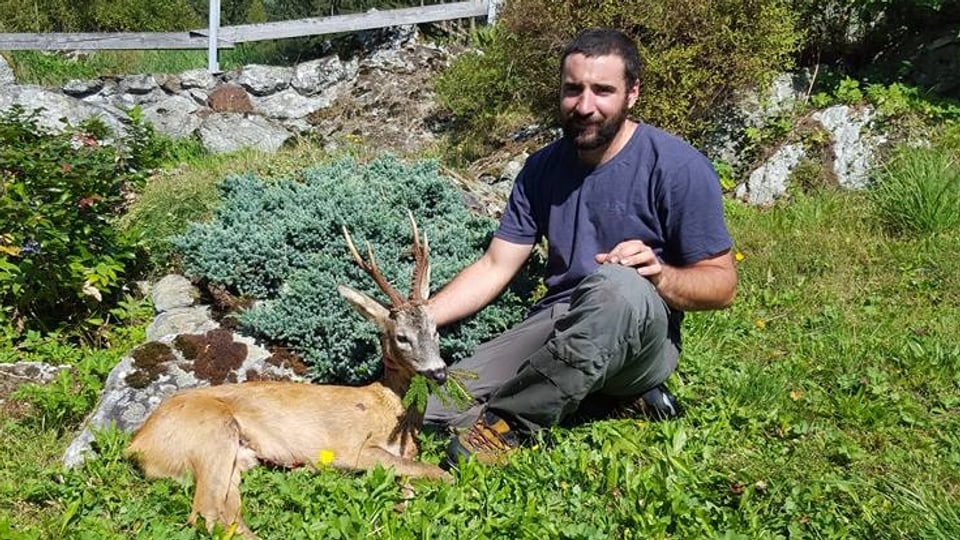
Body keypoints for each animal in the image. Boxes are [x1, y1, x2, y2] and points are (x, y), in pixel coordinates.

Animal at [126, 215, 450, 536]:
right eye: (402, 337)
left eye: (435, 329)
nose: (439, 372)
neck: (389, 409)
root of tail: (137, 443)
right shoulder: (353, 449)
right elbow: (441, 473)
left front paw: (402, 506)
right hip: (210, 434)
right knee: (205, 512)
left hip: (237, 459)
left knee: (227, 513)